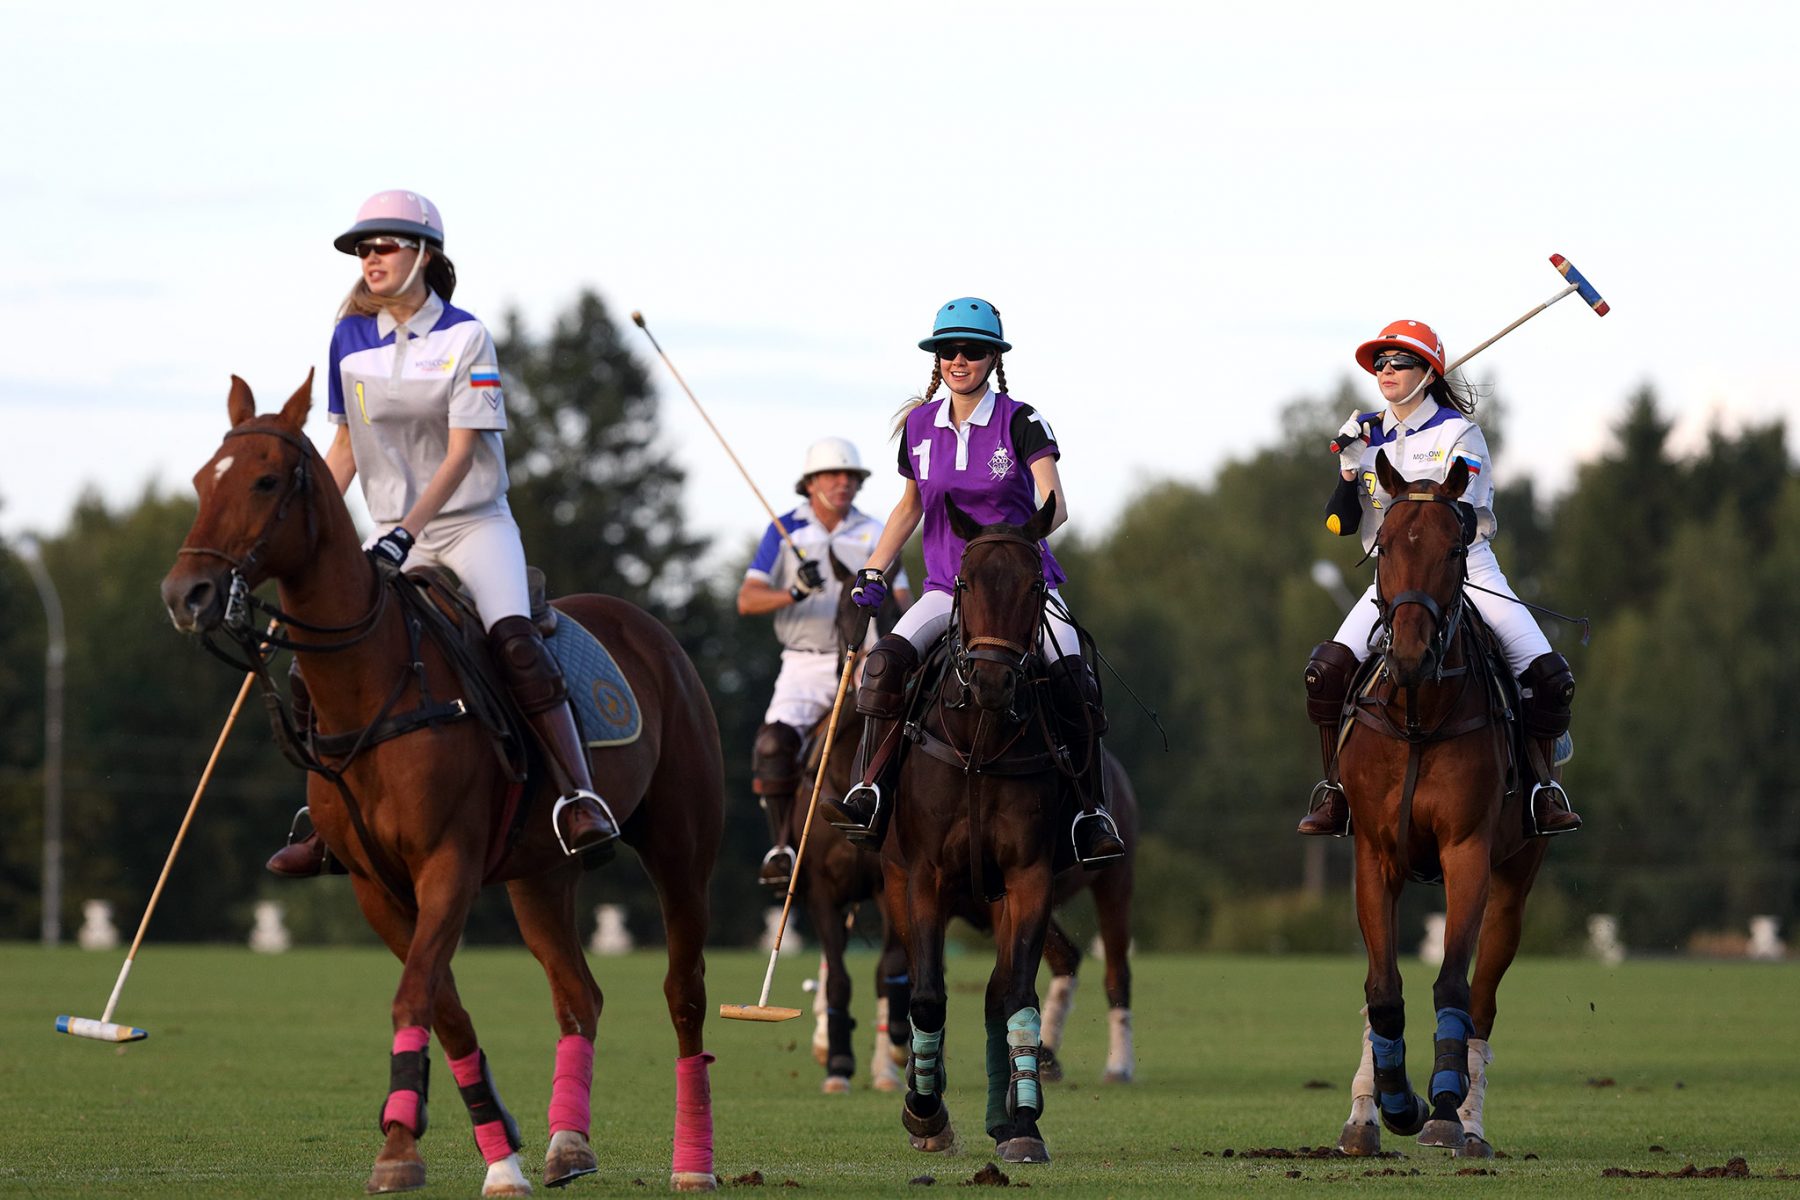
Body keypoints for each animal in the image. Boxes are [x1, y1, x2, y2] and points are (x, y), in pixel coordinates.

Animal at [160, 372, 723, 1194]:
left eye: (265, 481)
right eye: (204, 479)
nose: (187, 594)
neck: (371, 683)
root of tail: (649, 628)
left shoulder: (447, 864)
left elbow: (414, 995)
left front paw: (399, 1146)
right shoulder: (376, 884)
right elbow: (442, 1007)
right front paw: (490, 1151)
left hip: (681, 845)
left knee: (684, 991)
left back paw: (692, 1164)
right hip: (538, 873)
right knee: (577, 994)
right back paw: (567, 1144)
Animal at [878, 489, 1072, 1165]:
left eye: (1036, 583)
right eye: (964, 580)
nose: (990, 681)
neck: (980, 743)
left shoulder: (1028, 876)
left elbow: (1016, 994)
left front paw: (1024, 1121)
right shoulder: (925, 875)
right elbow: (927, 994)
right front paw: (924, 1109)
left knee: (995, 993)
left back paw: (1003, 1114)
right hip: (896, 882)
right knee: (918, 980)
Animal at [1339, 446, 1548, 1158]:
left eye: (1456, 547)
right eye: (1382, 546)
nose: (1406, 654)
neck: (1417, 716)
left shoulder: (1467, 852)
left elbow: (1455, 981)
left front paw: (1444, 1101)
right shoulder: (1374, 856)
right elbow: (1381, 990)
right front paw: (1394, 1103)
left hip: (1516, 877)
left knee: (1483, 999)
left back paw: (1468, 1124)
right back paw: (1367, 1115)